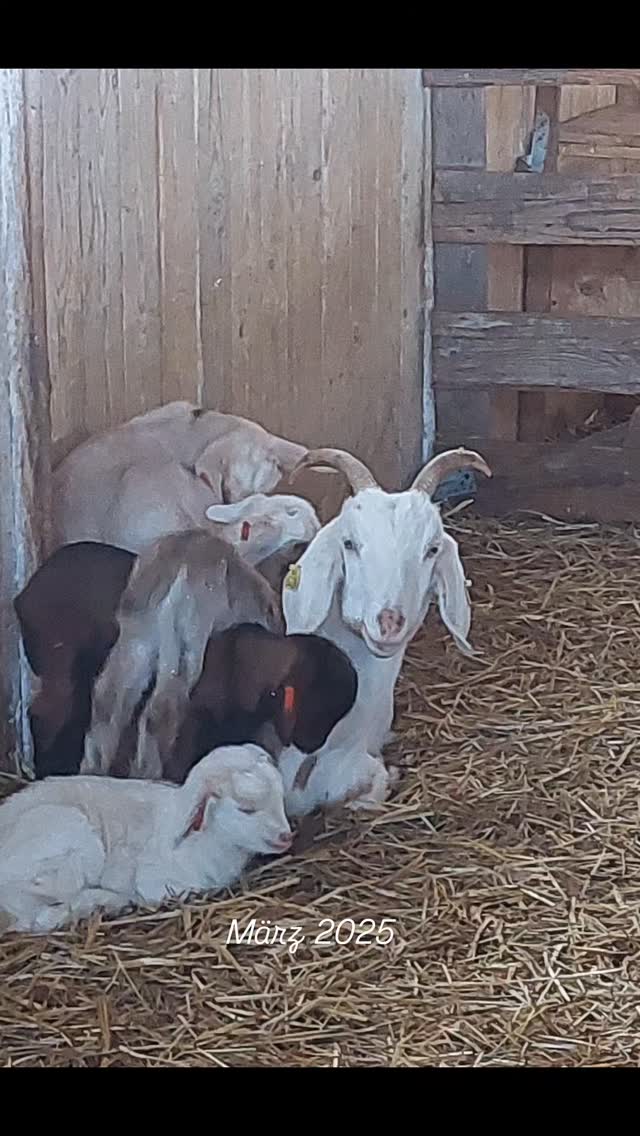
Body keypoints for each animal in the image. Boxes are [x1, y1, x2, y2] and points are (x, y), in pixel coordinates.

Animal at [0, 744, 291, 936]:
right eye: (246, 809)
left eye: (280, 797)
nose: (286, 837)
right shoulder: (158, 883)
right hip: (69, 842)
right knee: (38, 914)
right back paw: (108, 903)